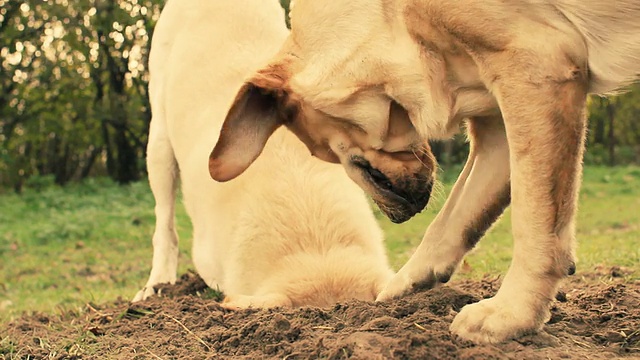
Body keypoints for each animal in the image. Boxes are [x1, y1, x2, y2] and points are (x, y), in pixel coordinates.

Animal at [209, 0, 640, 344]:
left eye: (324, 152)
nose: (397, 217)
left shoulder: (537, 64)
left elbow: (534, 224)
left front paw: (511, 316)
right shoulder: (497, 129)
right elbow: (453, 220)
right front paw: (399, 289)